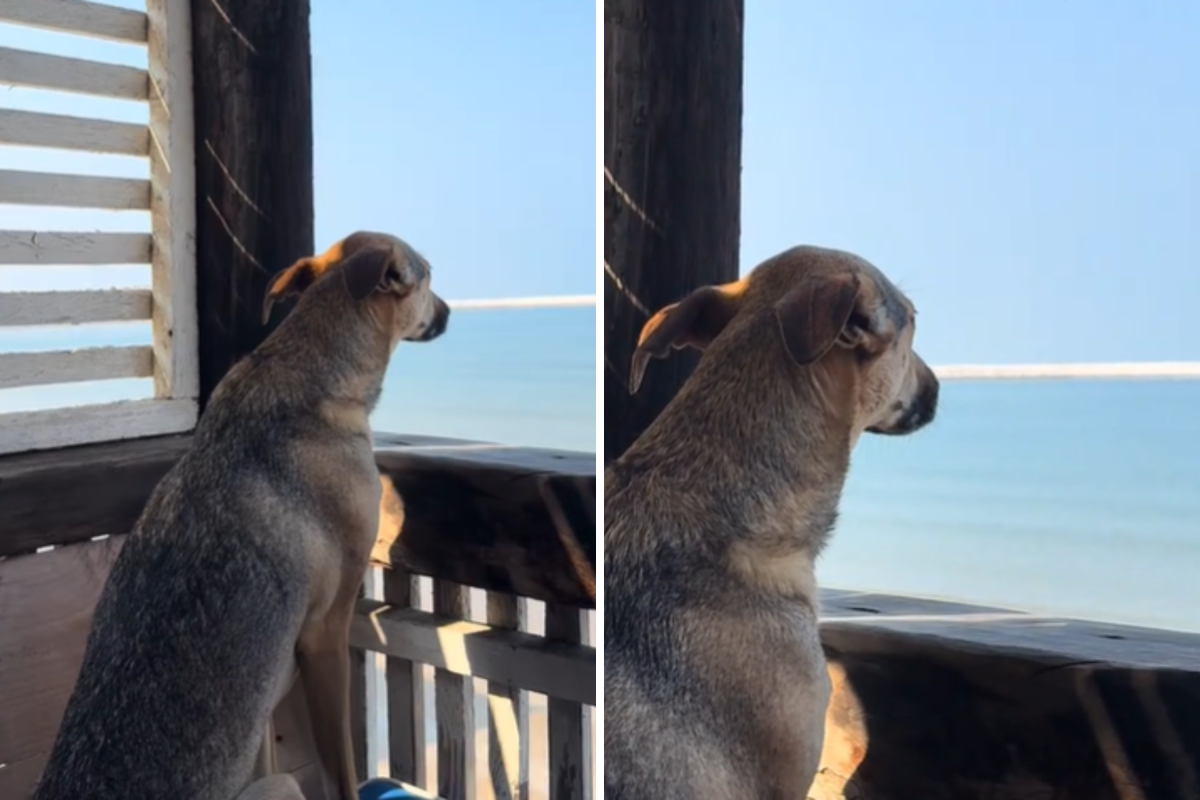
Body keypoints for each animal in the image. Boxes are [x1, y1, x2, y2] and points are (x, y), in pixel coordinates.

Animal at [30, 230, 451, 800]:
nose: (449, 312)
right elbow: (340, 769)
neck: (307, 368)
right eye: (427, 276)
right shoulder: (326, 636)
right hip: (282, 785)